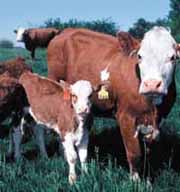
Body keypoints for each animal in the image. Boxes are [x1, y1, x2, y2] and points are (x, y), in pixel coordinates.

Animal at [46, 26, 180, 180]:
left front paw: (147, 179)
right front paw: (135, 181)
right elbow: (135, 153)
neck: (152, 107)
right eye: (140, 56)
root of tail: (65, 31)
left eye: (173, 57)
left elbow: (149, 152)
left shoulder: (158, 122)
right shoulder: (126, 117)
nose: (152, 84)